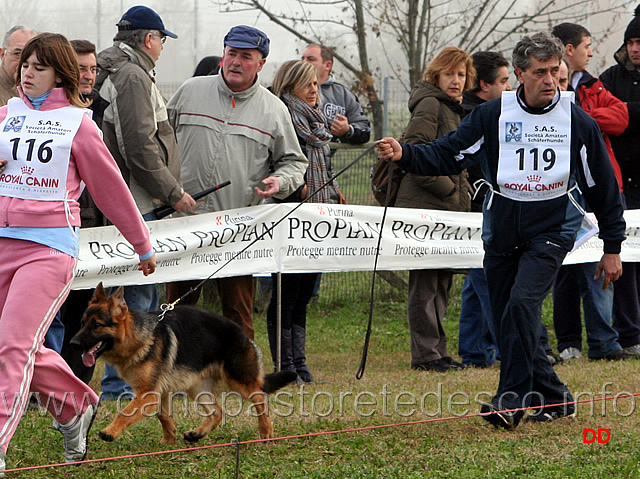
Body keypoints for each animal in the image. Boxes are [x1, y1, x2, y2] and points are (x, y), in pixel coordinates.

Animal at [70, 284, 298, 444]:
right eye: (82, 323)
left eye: (96, 325)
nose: (72, 344)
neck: (138, 337)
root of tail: (242, 332)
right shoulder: (158, 393)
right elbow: (163, 415)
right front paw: (169, 440)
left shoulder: (147, 393)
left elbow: (125, 412)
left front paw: (110, 432)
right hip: (197, 387)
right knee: (218, 411)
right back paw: (197, 434)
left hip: (238, 381)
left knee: (260, 397)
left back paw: (266, 432)